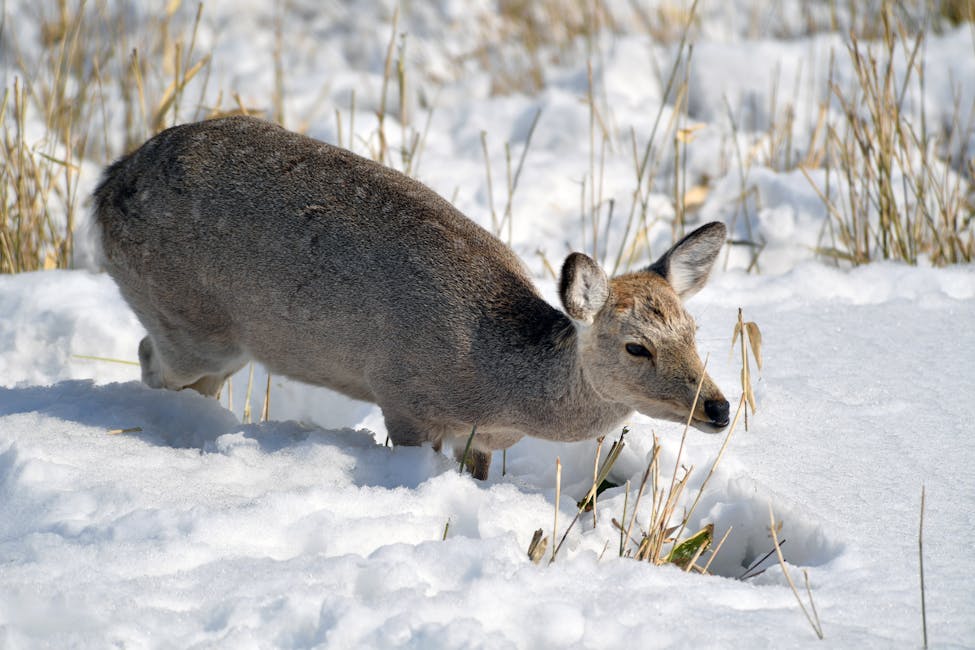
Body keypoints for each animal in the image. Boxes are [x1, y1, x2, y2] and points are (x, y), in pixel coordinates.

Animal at [94, 116, 729, 479]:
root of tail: (104, 187)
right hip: (185, 318)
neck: (498, 389)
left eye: (695, 332)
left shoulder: (481, 439)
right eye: (635, 347)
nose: (720, 408)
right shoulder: (403, 396)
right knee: (151, 358)